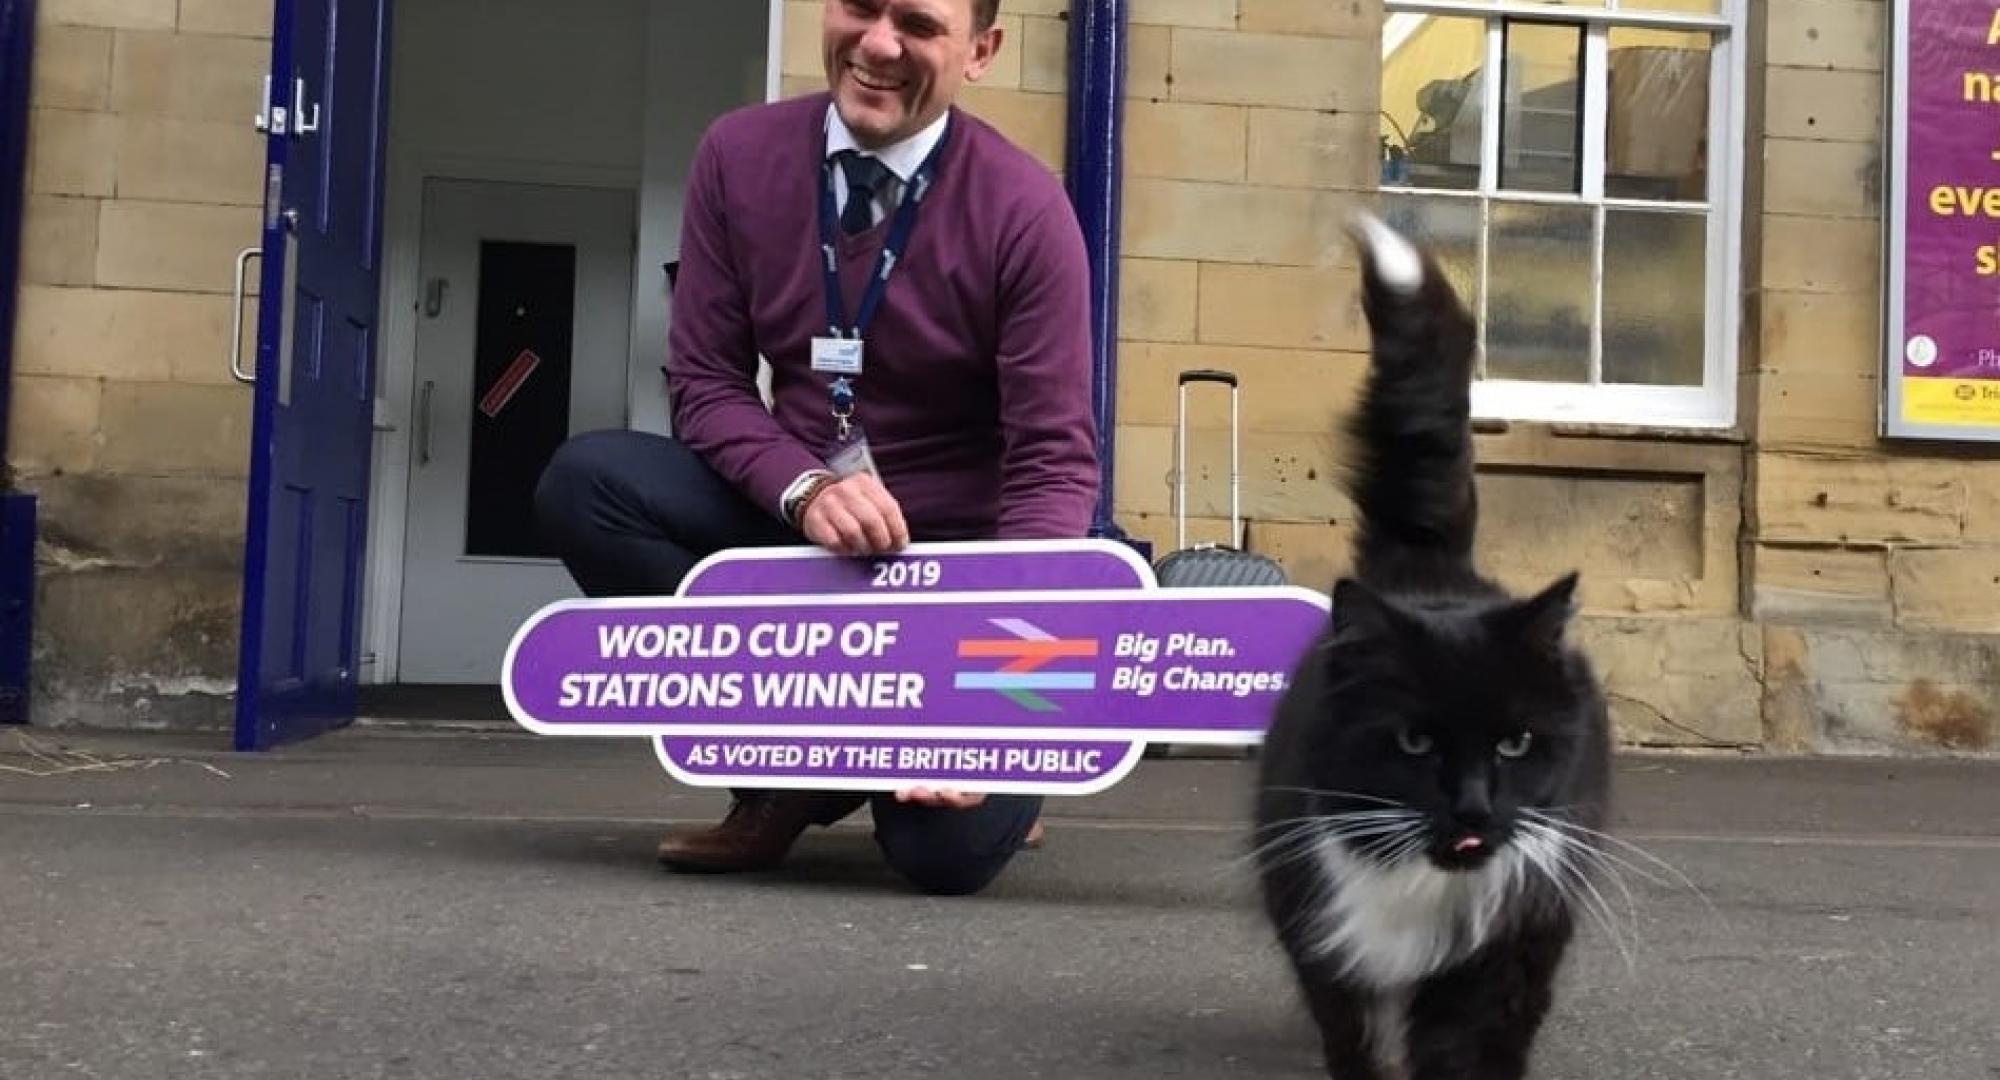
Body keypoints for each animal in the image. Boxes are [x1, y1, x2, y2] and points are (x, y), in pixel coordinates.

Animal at [1256, 213, 1616, 1080]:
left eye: (1516, 743)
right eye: (1414, 742)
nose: (1474, 810)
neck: (1422, 888)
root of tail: (1429, 568)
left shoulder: (1516, 939)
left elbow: (1473, 1044)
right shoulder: (1326, 936)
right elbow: (1352, 1036)